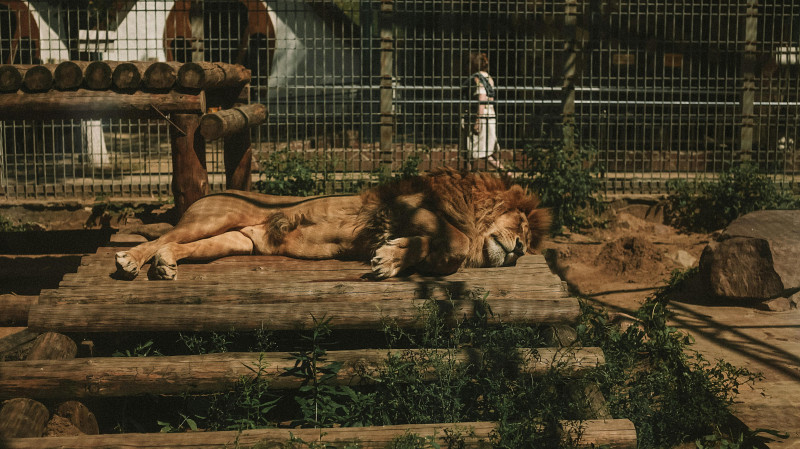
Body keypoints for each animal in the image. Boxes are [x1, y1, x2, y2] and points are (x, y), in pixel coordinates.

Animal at [114, 168, 551, 280]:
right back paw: (131, 261)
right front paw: (390, 258)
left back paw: (165, 264)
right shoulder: (405, 207)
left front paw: (393, 258)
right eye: (521, 225)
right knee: (161, 237)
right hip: (217, 217)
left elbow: (448, 256)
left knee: (173, 245)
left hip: (235, 241)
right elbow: (457, 239)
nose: (520, 250)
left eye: (528, 240)